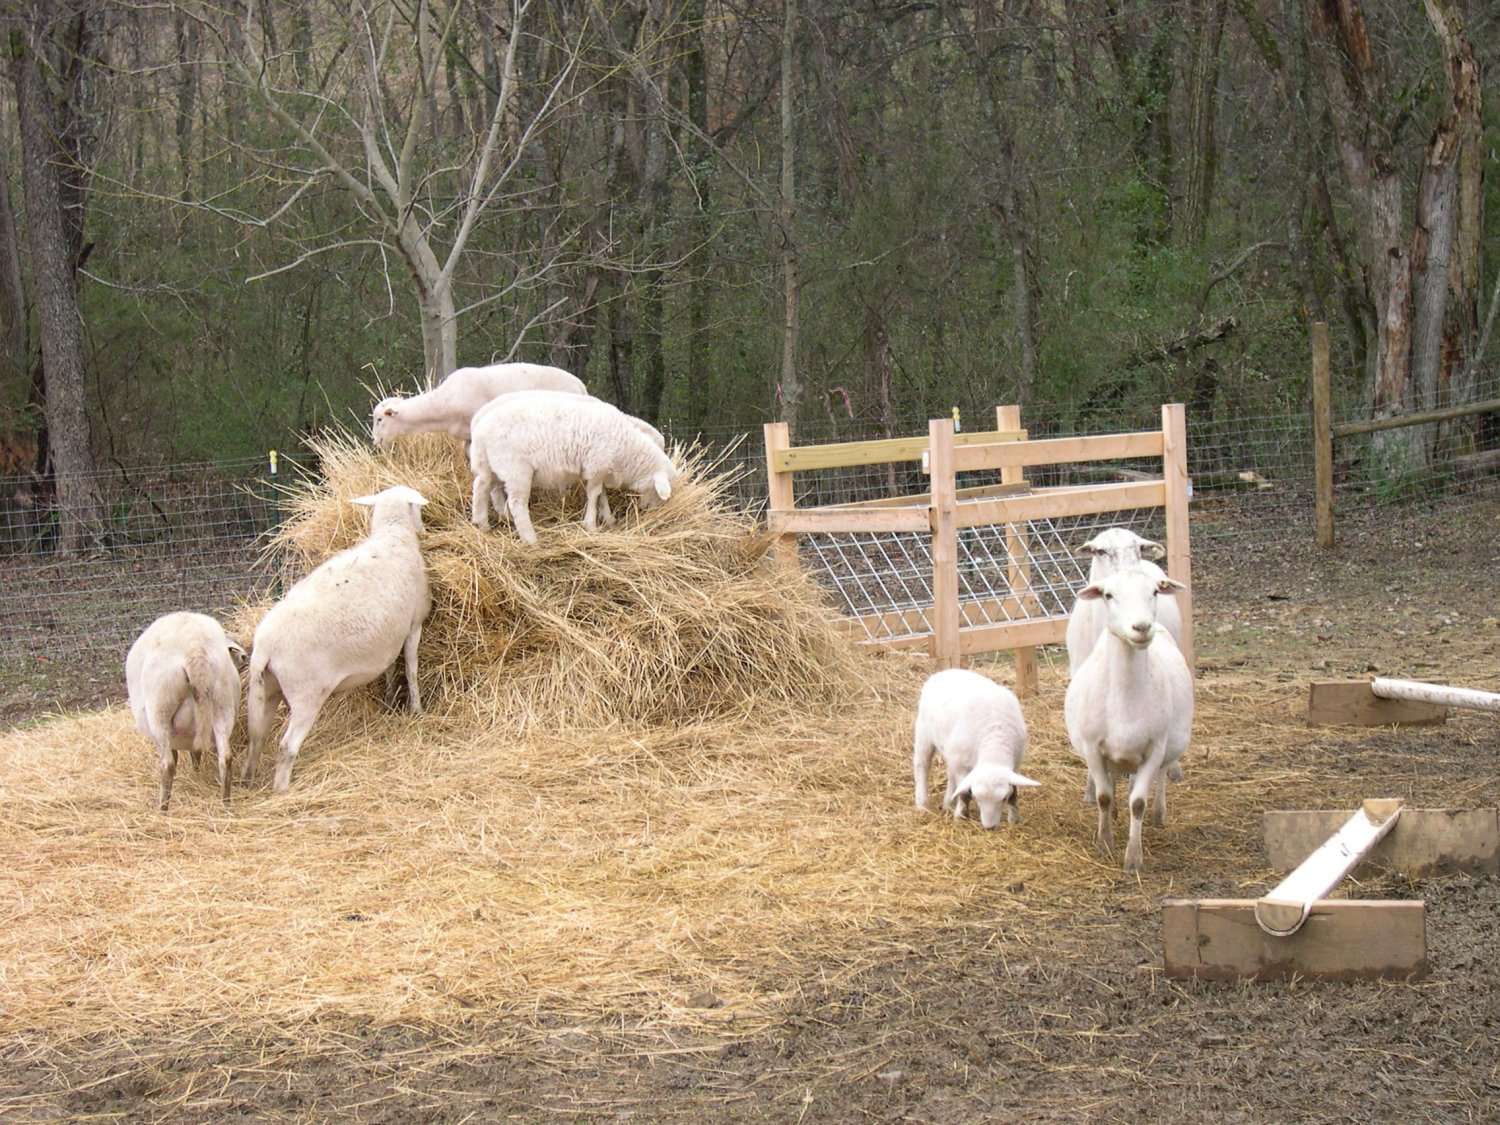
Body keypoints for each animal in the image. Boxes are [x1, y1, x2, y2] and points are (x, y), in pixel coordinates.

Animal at [126, 612, 246, 816]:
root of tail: (193, 648)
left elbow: (175, 756)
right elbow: (195, 754)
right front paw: (196, 776)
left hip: (160, 710)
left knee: (167, 764)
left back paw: (162, 809)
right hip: (223, 704)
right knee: (226, 758)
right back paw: (225, 805)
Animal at [240, 486, 429, 792]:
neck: (392, 535)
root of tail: (265, 648)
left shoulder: (389, 638)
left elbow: (390, 668)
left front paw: (390, 698)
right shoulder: (414, 624)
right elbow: (411, 668)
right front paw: (417, 709)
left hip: (264, 690)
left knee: (256, 737)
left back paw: (248, 779)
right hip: (306, 694)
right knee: (286, 745)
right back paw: (282, 788)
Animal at [912, 669, 1044, 828]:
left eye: (1003, 798)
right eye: (977, 798)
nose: (989, 827)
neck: (994, 742)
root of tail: (945, 671)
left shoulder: (1015, 764)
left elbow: (1014, 793)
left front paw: (1014, 819)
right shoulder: (962, 764)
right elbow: (964, 793)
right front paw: (961, 816)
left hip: (951, 751)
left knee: (950, 774)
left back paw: (948, 803)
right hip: (924, 734)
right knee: (922, 765)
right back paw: (922, 804)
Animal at [1068, 567, 1194, 876]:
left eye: (1155, 591)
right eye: (1108, 595)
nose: (1142, 627)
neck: (1125, 700)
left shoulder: (1154, 748)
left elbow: (1138, 802)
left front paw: (1133, 858)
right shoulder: (1093, 747)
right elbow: (1103, 796)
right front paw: (1104, 843)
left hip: (1166, 746)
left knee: (1159, 776)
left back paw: (1158, 813)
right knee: (1114, 780)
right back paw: (1114, 813)